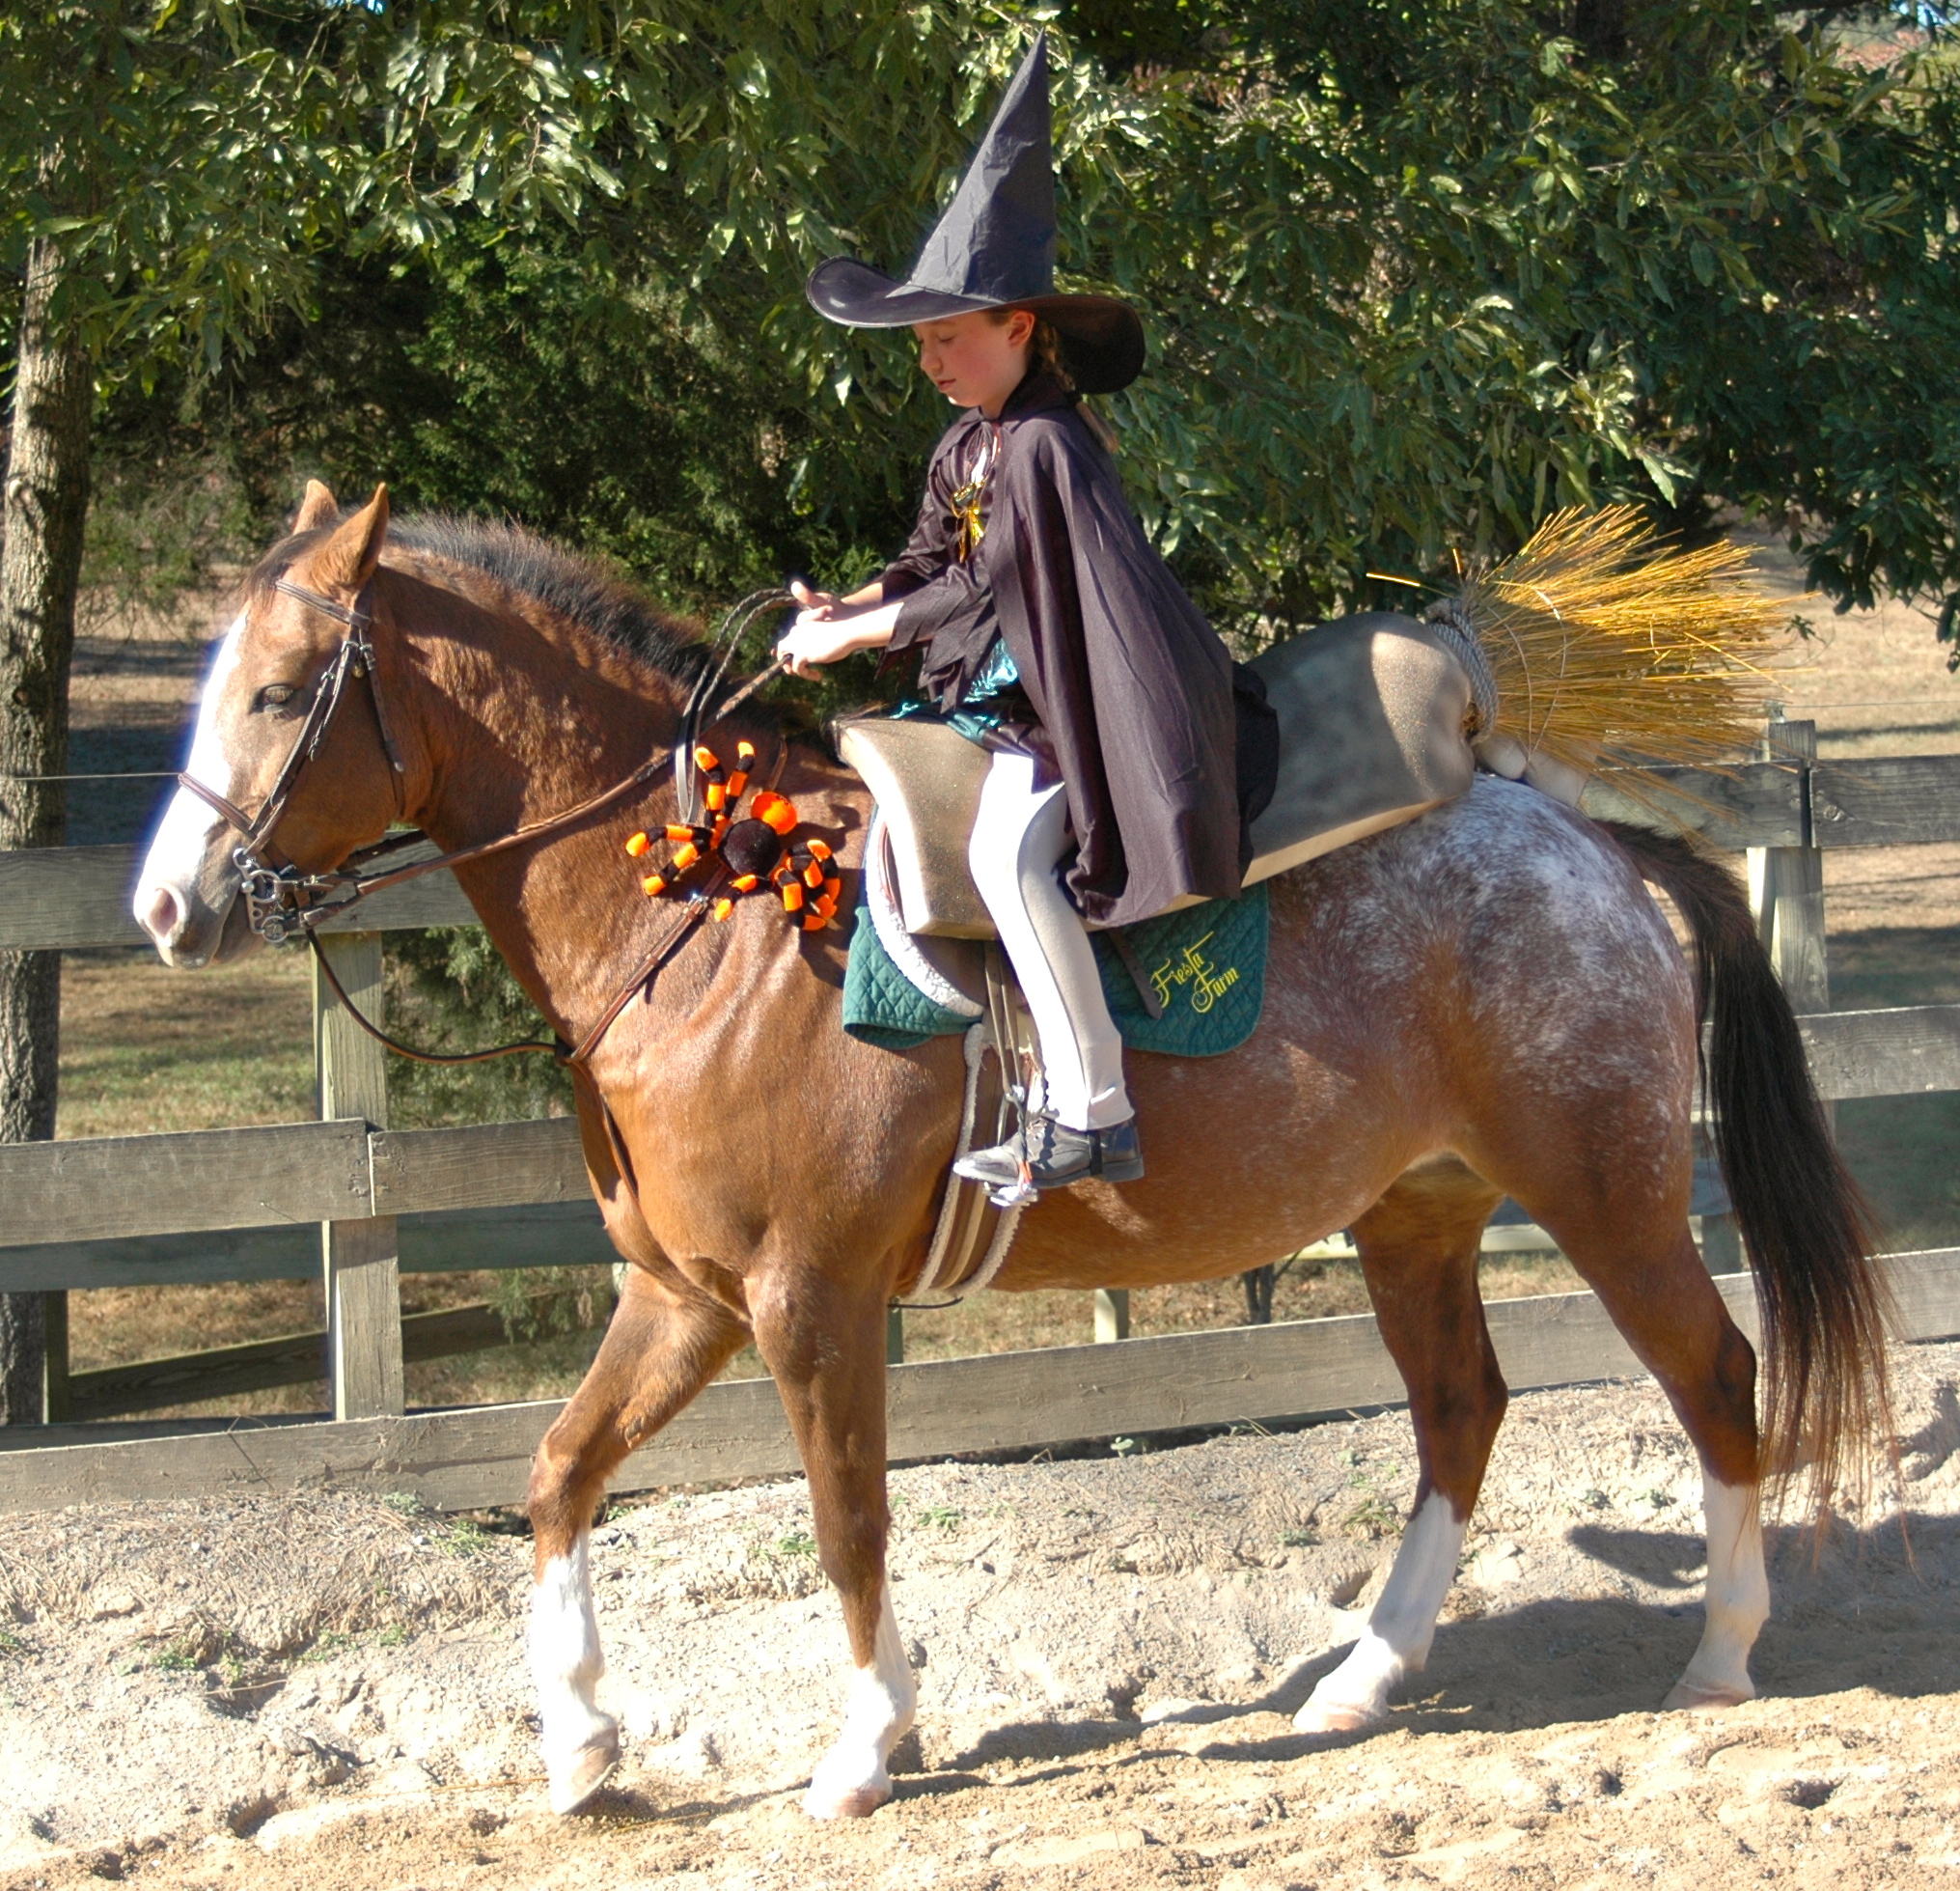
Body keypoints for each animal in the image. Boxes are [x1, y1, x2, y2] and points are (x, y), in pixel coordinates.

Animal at [134, 481, 1890, 1820]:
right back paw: (1365, 1671)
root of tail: (1588, 839)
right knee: (1461, 1409)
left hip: (1605, 1195)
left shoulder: (809, 1299)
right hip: (1414, 1217)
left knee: (1716, 1373)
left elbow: (847, 1516)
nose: (164, 905)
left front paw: (863, 1741)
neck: (706, 911)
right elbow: (560, 1472)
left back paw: (1719, 1647)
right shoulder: (680, 1295)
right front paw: (577, 1740)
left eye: (282, 691)